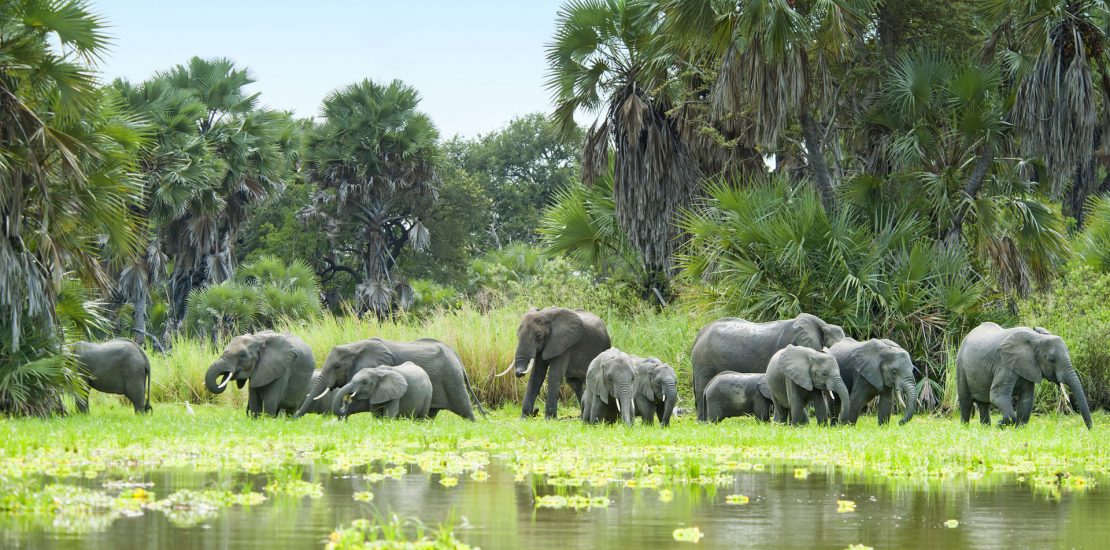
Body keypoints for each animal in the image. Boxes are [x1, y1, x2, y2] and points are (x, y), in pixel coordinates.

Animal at [295, 335, 481, 422]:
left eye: (337, 366)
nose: (294, 418)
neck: (356, 346)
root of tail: (456, 357)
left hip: (452, 379)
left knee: (465, 409)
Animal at [954, 322, 1092, 431]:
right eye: (1051, 360)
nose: (1090, 429)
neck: (1037, 338)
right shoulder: (1004, 364)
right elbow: (998, 395)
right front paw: (1000, 424)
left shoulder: (1028, 366)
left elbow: (1027, 398)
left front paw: (1019, 429)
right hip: (961, 366)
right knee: (966, 402)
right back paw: (965, 428)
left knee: (984, 404)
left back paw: (985, 429)